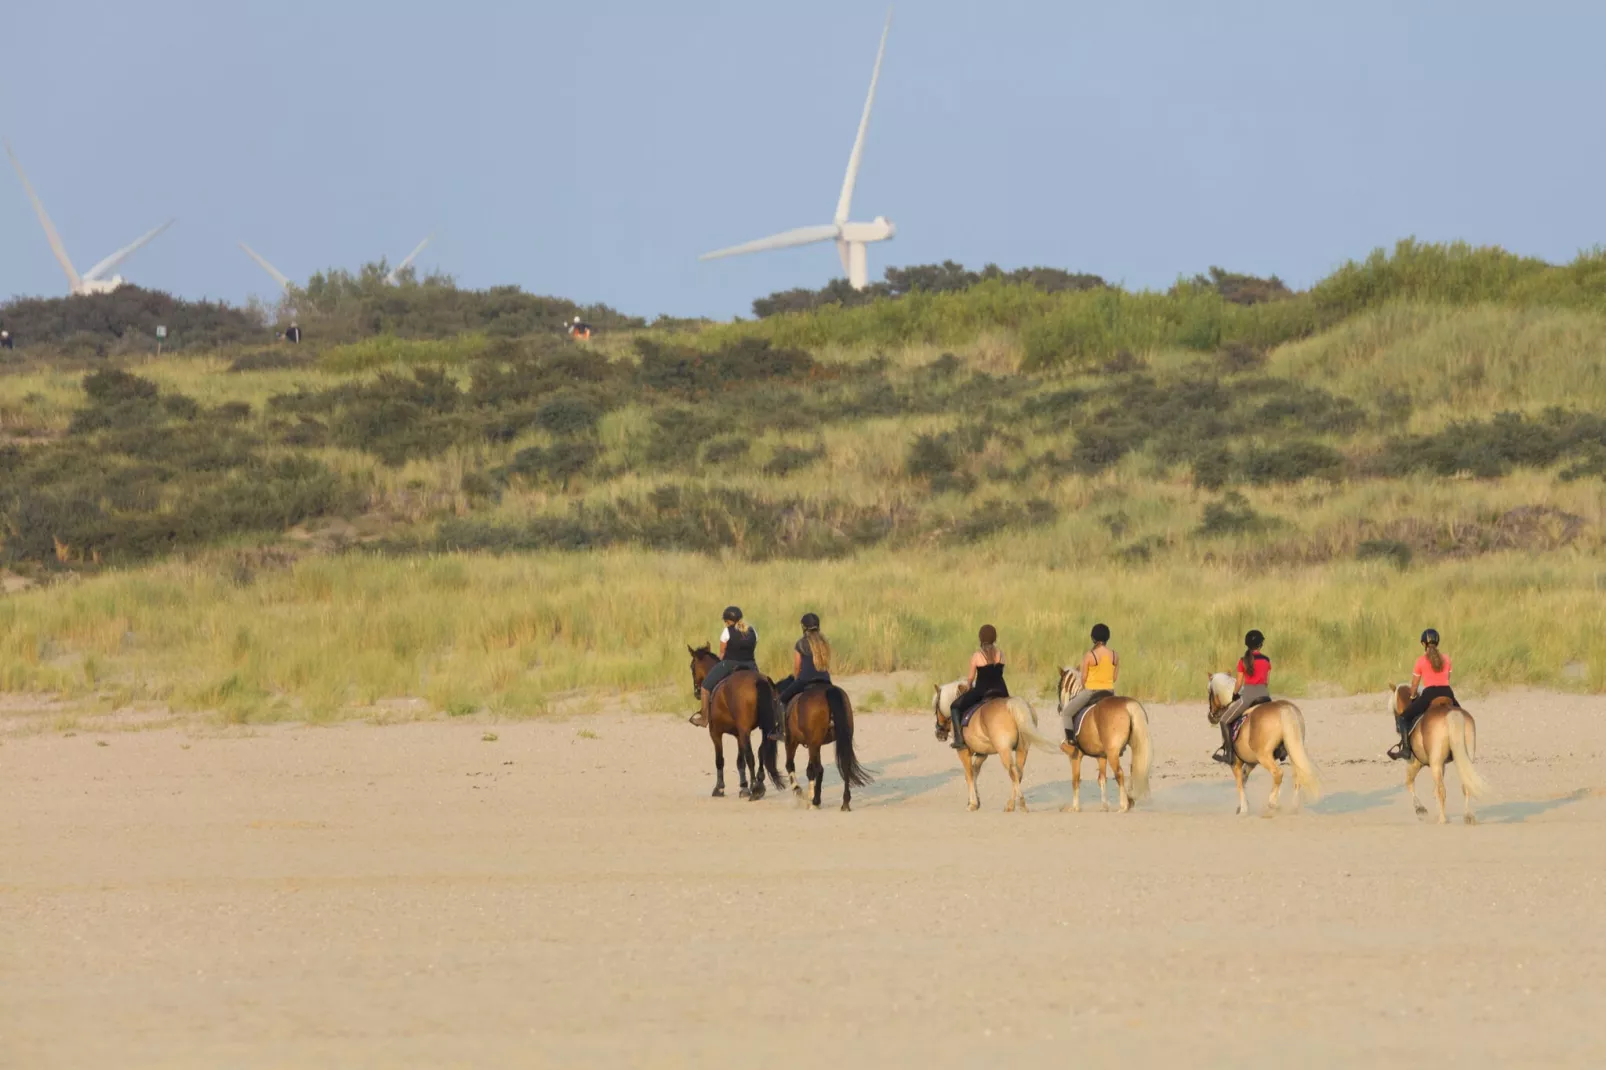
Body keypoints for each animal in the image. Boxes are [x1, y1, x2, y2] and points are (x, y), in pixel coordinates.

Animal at [687, 642, 780, 800]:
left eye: (692, 667)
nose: (697, 693)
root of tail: (758, 681)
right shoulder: (738, 735)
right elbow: (740, 762)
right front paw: (743, 787)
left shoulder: (715, 732)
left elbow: (720, 760)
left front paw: (719, 788)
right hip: (764, 728)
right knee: (761, 751)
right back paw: (759, 784)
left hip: (744, 730)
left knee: (751, 756)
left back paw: (755, 788)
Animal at [931, 677, 1053, 812]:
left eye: (935, 709)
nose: (938, 733)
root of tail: (1014, 705)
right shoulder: (982, 754)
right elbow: (975, 773)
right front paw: (976, 801)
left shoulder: (963, 752)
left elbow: (969, 775)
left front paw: (972, 803)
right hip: (1022, 749)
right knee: (1019, 773)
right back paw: (1011, 805)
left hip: (1004, 751)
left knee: (1013, 773)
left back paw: (1020, 804)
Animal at [1059, 661, 1149, 812]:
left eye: (1059, 685)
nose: (1060, 708)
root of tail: (1127, 705)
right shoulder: (1101, 757)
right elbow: (1102, 779)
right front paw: (1104, 806)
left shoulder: (1075, 756)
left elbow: (1076, 780)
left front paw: (1075, 807)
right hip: (1134, 748)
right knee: (1133, 771)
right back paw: (1129, 801)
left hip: (1113, 754)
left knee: (1119, 774)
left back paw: (1123, 806)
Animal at [1201, 671, 1323, 812]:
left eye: (1208, 691)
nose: (1211, 716)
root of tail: (1283, 708)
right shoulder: (1251, 763)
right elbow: (1244, 779)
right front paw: (1242, 806)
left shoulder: (1236, 763)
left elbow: (1239, 783)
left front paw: (1243, 808)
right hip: (1293, 750)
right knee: (1298, 774)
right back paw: (1293, 806)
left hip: (1264, 756)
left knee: (1278, 774)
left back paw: (1272, 802)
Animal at [1387, 684, 1483, 822]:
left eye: (1394, 711)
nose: (1397, 728)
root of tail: (1451, 714)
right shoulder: (1442, 765)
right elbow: (1433, 791)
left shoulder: (1415, 763)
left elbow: (1409, 783)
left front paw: (1420, 809)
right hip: (1464, 758)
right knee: (1465, 785)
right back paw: (1468, 816)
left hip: (1434, 763)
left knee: (1441, 790)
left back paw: (1442, 820)